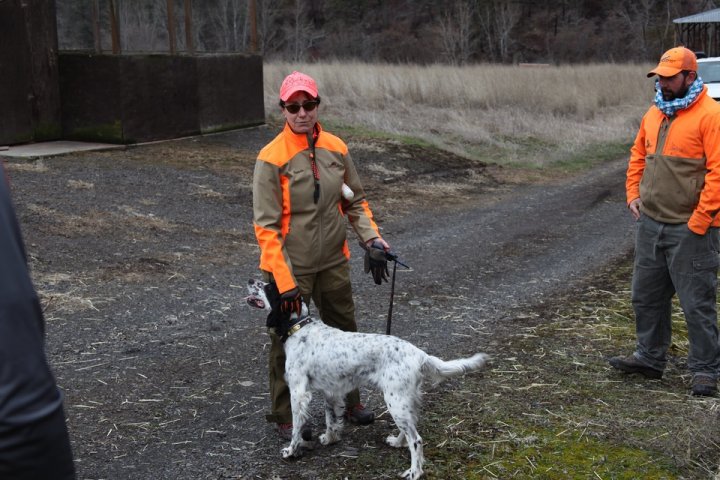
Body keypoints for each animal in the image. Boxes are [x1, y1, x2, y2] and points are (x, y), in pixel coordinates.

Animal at [246, 278, 490, 480]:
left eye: (268, 287)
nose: (249, 280)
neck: (299, 328)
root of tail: (419, 354)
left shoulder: (299, 393)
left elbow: (297, 427)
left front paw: (291, 451)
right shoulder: (331, 391)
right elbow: (331, 419)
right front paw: (330, 438)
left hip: (394, 400)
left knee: (416, 439)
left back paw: (414, 472)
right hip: (403, 401)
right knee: (408, 430)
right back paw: (397, 443)